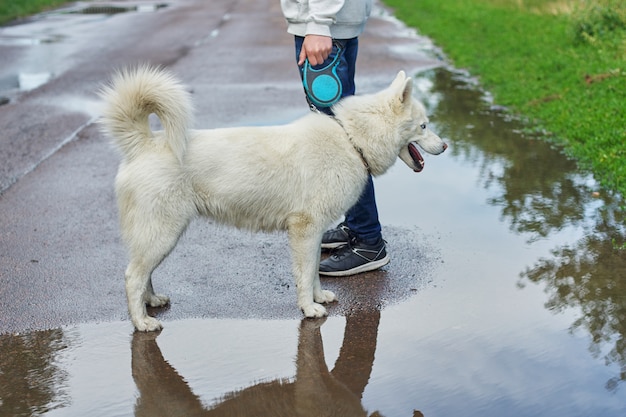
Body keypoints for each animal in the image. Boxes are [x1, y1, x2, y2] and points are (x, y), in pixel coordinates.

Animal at [100, 66, 446, 332]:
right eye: (424, 125)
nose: (444, 146)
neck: (351, 139)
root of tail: (143, 144)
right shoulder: (305, 229)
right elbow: (304, 275)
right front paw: (309, 309)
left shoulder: (314, 232)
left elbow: (312, 271)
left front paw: (319, 298)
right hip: (162, 233)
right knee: (132, 276)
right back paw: (142, 322)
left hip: (160, 235)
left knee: (143, 274)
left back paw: (151, 302)